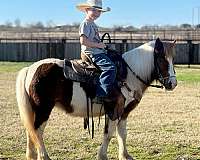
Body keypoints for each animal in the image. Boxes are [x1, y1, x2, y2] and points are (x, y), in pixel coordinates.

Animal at [16, 37, 177, 160]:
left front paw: (125, 155)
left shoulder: (124, 113)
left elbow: (122, 133)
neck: (127, 75)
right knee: (37, 131)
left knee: (31, 130)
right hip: (43, 109)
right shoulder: (114, 110)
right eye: (163, 59)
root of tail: (30, 69)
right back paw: (44, 156)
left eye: (172, 59)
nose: (173, 83)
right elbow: (109, 133)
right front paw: (102, 155)